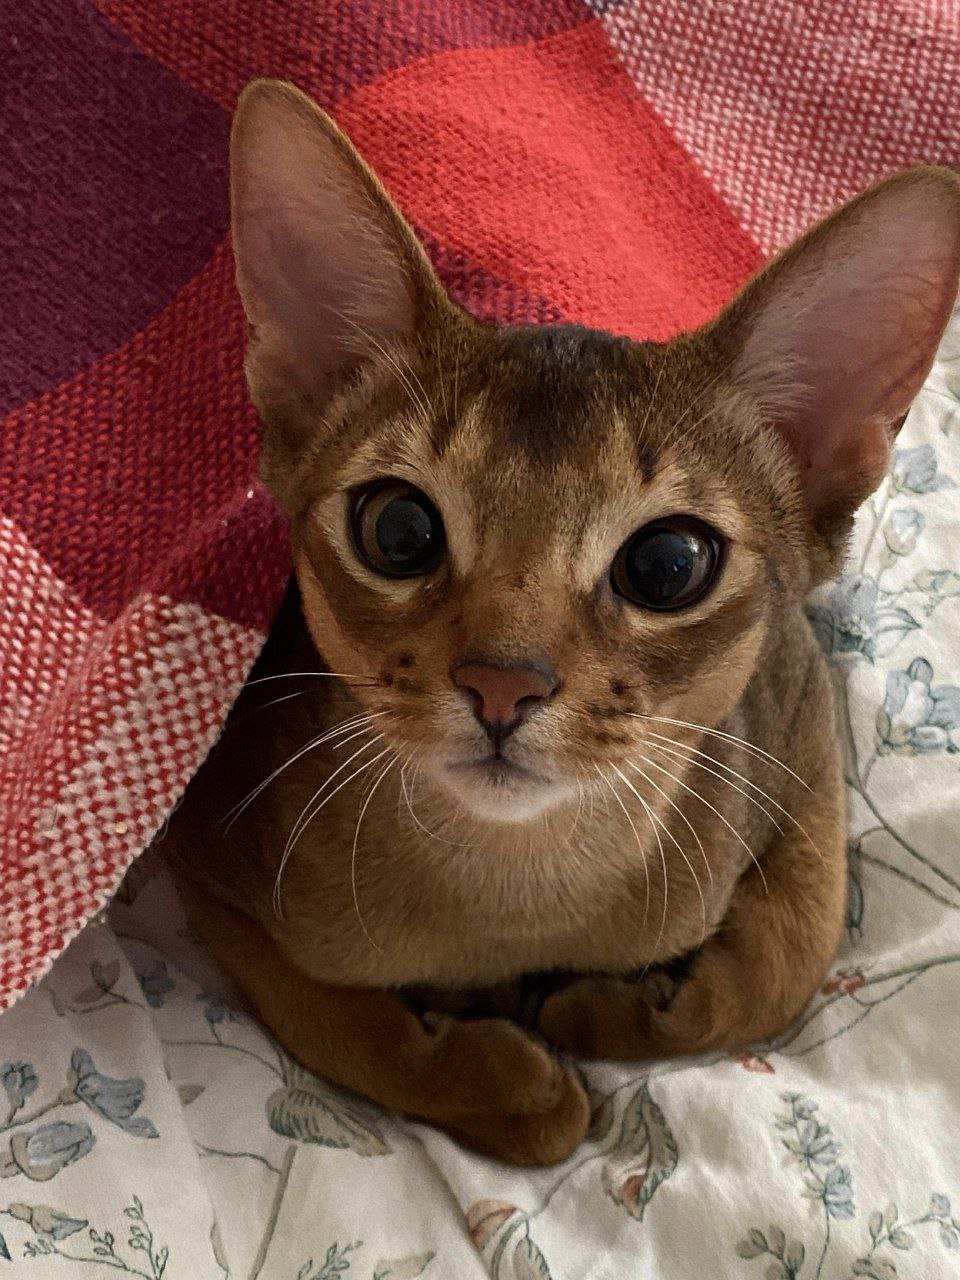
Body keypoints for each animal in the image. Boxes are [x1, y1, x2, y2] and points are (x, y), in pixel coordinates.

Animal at [162, 78, 960, 1166]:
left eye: (668, 565)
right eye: (397, 529)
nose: (503, 683)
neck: (519, 895)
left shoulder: (799, 728)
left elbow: (788, 959)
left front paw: (610, 1008)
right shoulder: (208, 854)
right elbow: (332, 1018)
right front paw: (510, 1084)